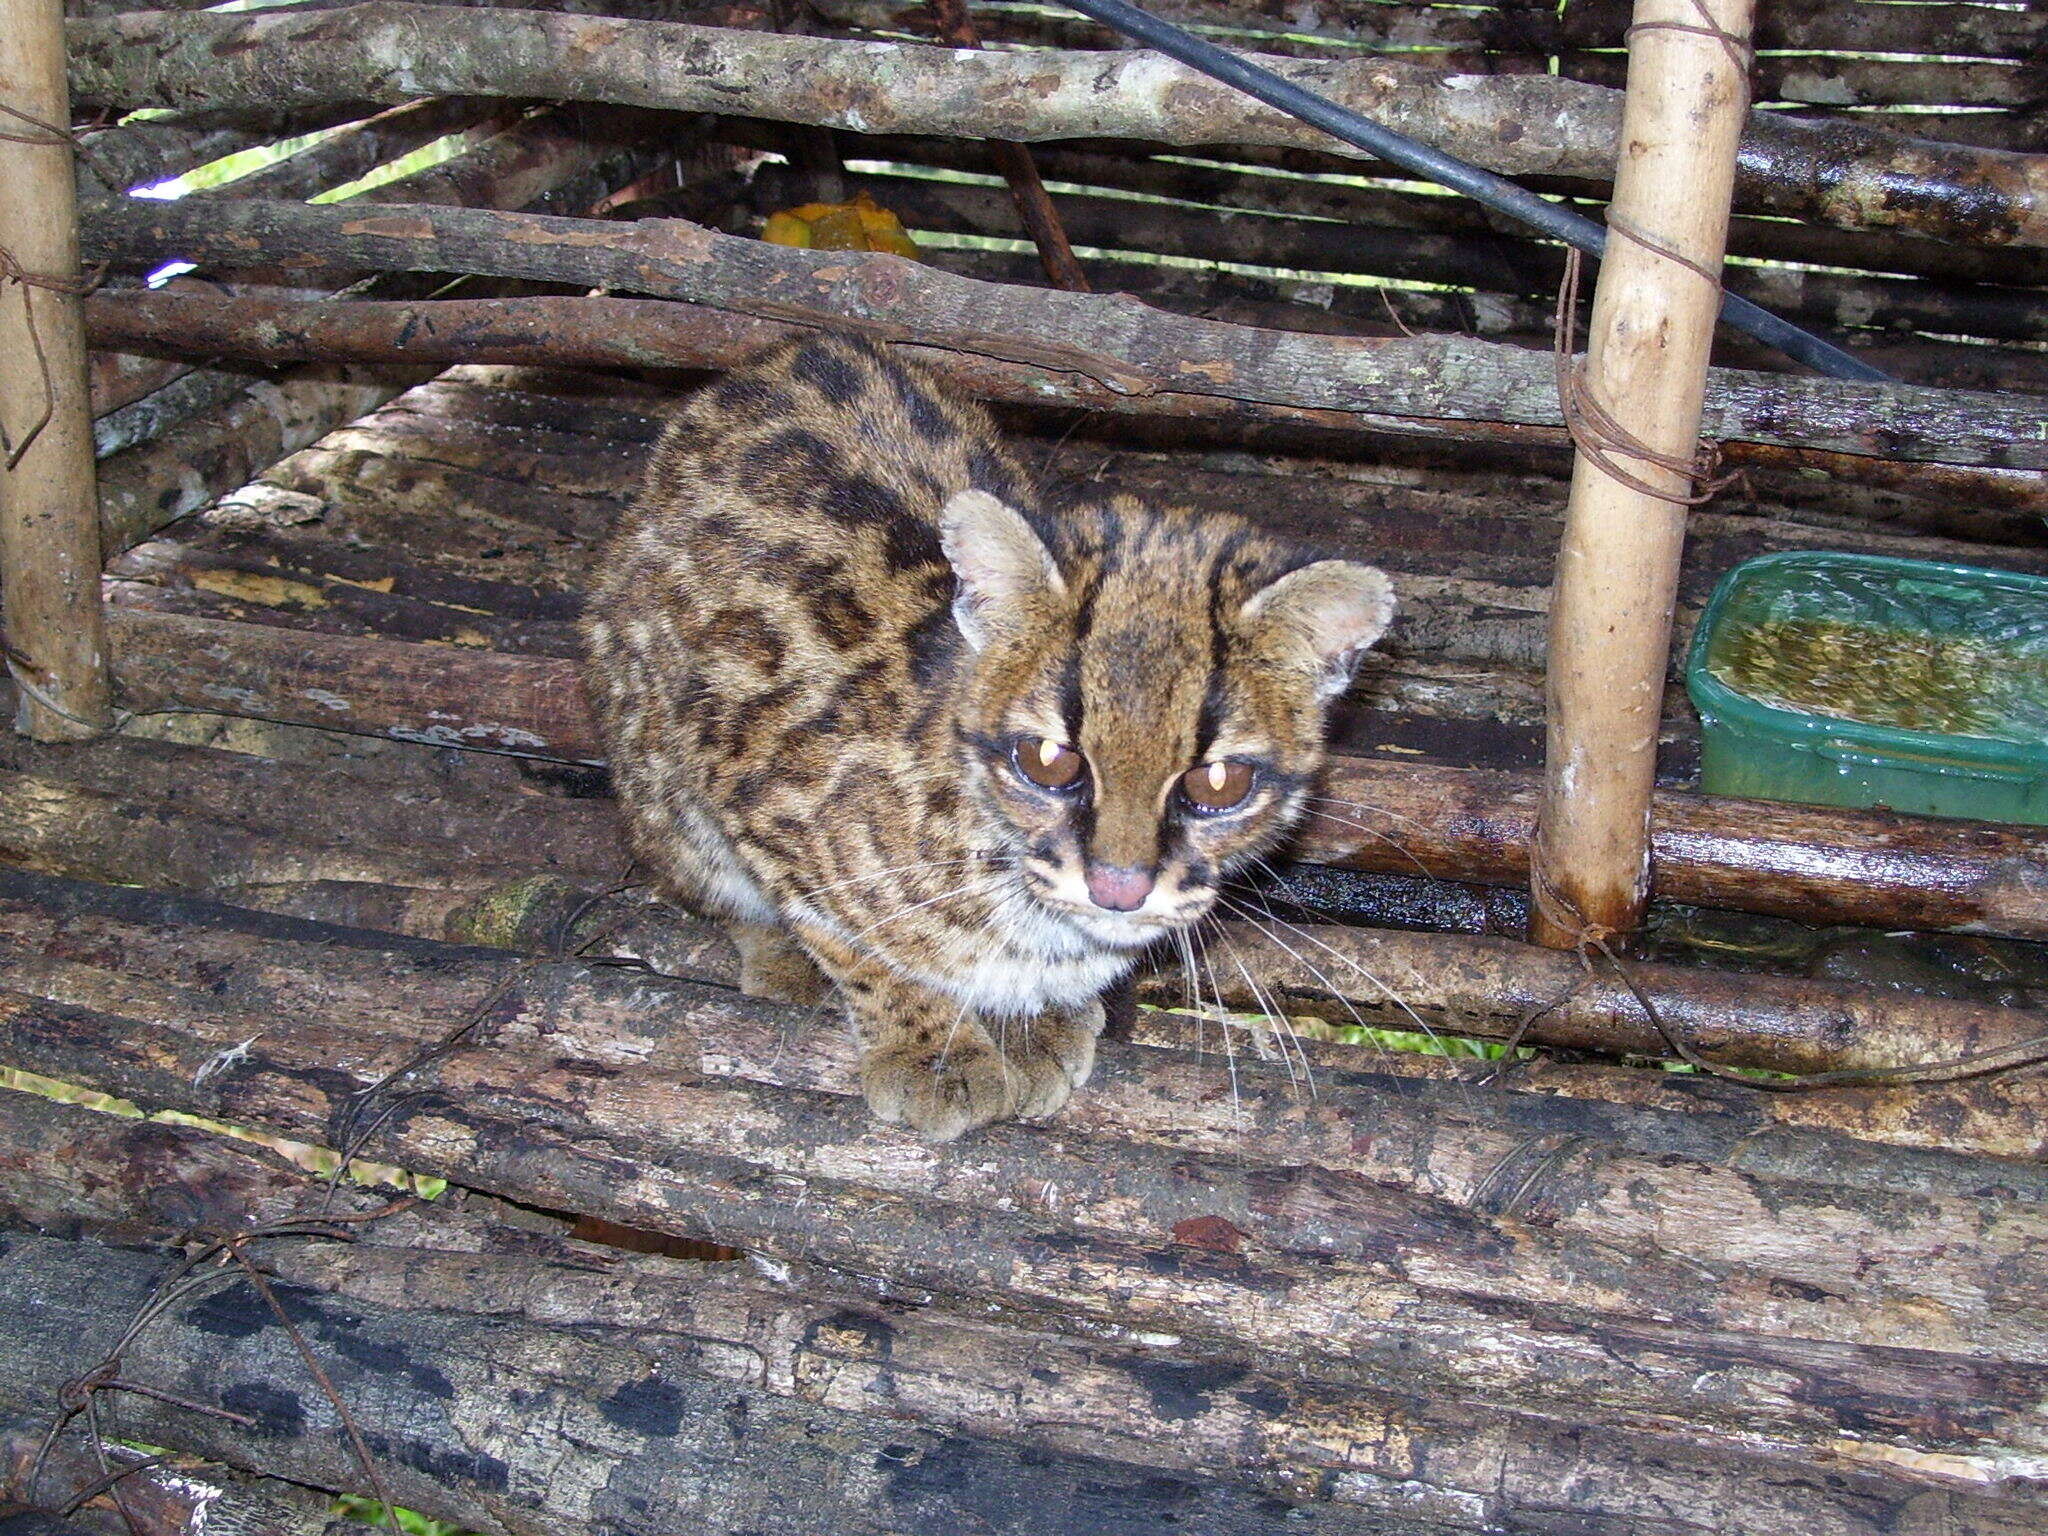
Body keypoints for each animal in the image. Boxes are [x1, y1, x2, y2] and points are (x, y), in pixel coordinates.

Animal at [585, 335, 1400, 1146]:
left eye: (1218, 784)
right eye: (1048, 762)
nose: (1118, 889)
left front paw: (1030, 1020)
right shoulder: (758, 795)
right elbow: (854, 945)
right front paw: (930, 1047)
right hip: (651, 759)